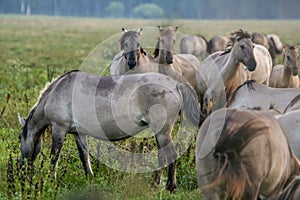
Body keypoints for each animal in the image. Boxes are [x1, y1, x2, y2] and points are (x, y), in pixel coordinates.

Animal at [17, 70, 203, 192]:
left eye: (19, 138)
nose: (21, 169)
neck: (57, 91)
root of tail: (176, 84)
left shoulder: (59, 129)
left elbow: (54, 157)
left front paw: (51, 179)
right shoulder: (79, 133)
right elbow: (84, 155)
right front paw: (89, 176)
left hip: (162, 132)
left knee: (169, 155)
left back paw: (168, 186)